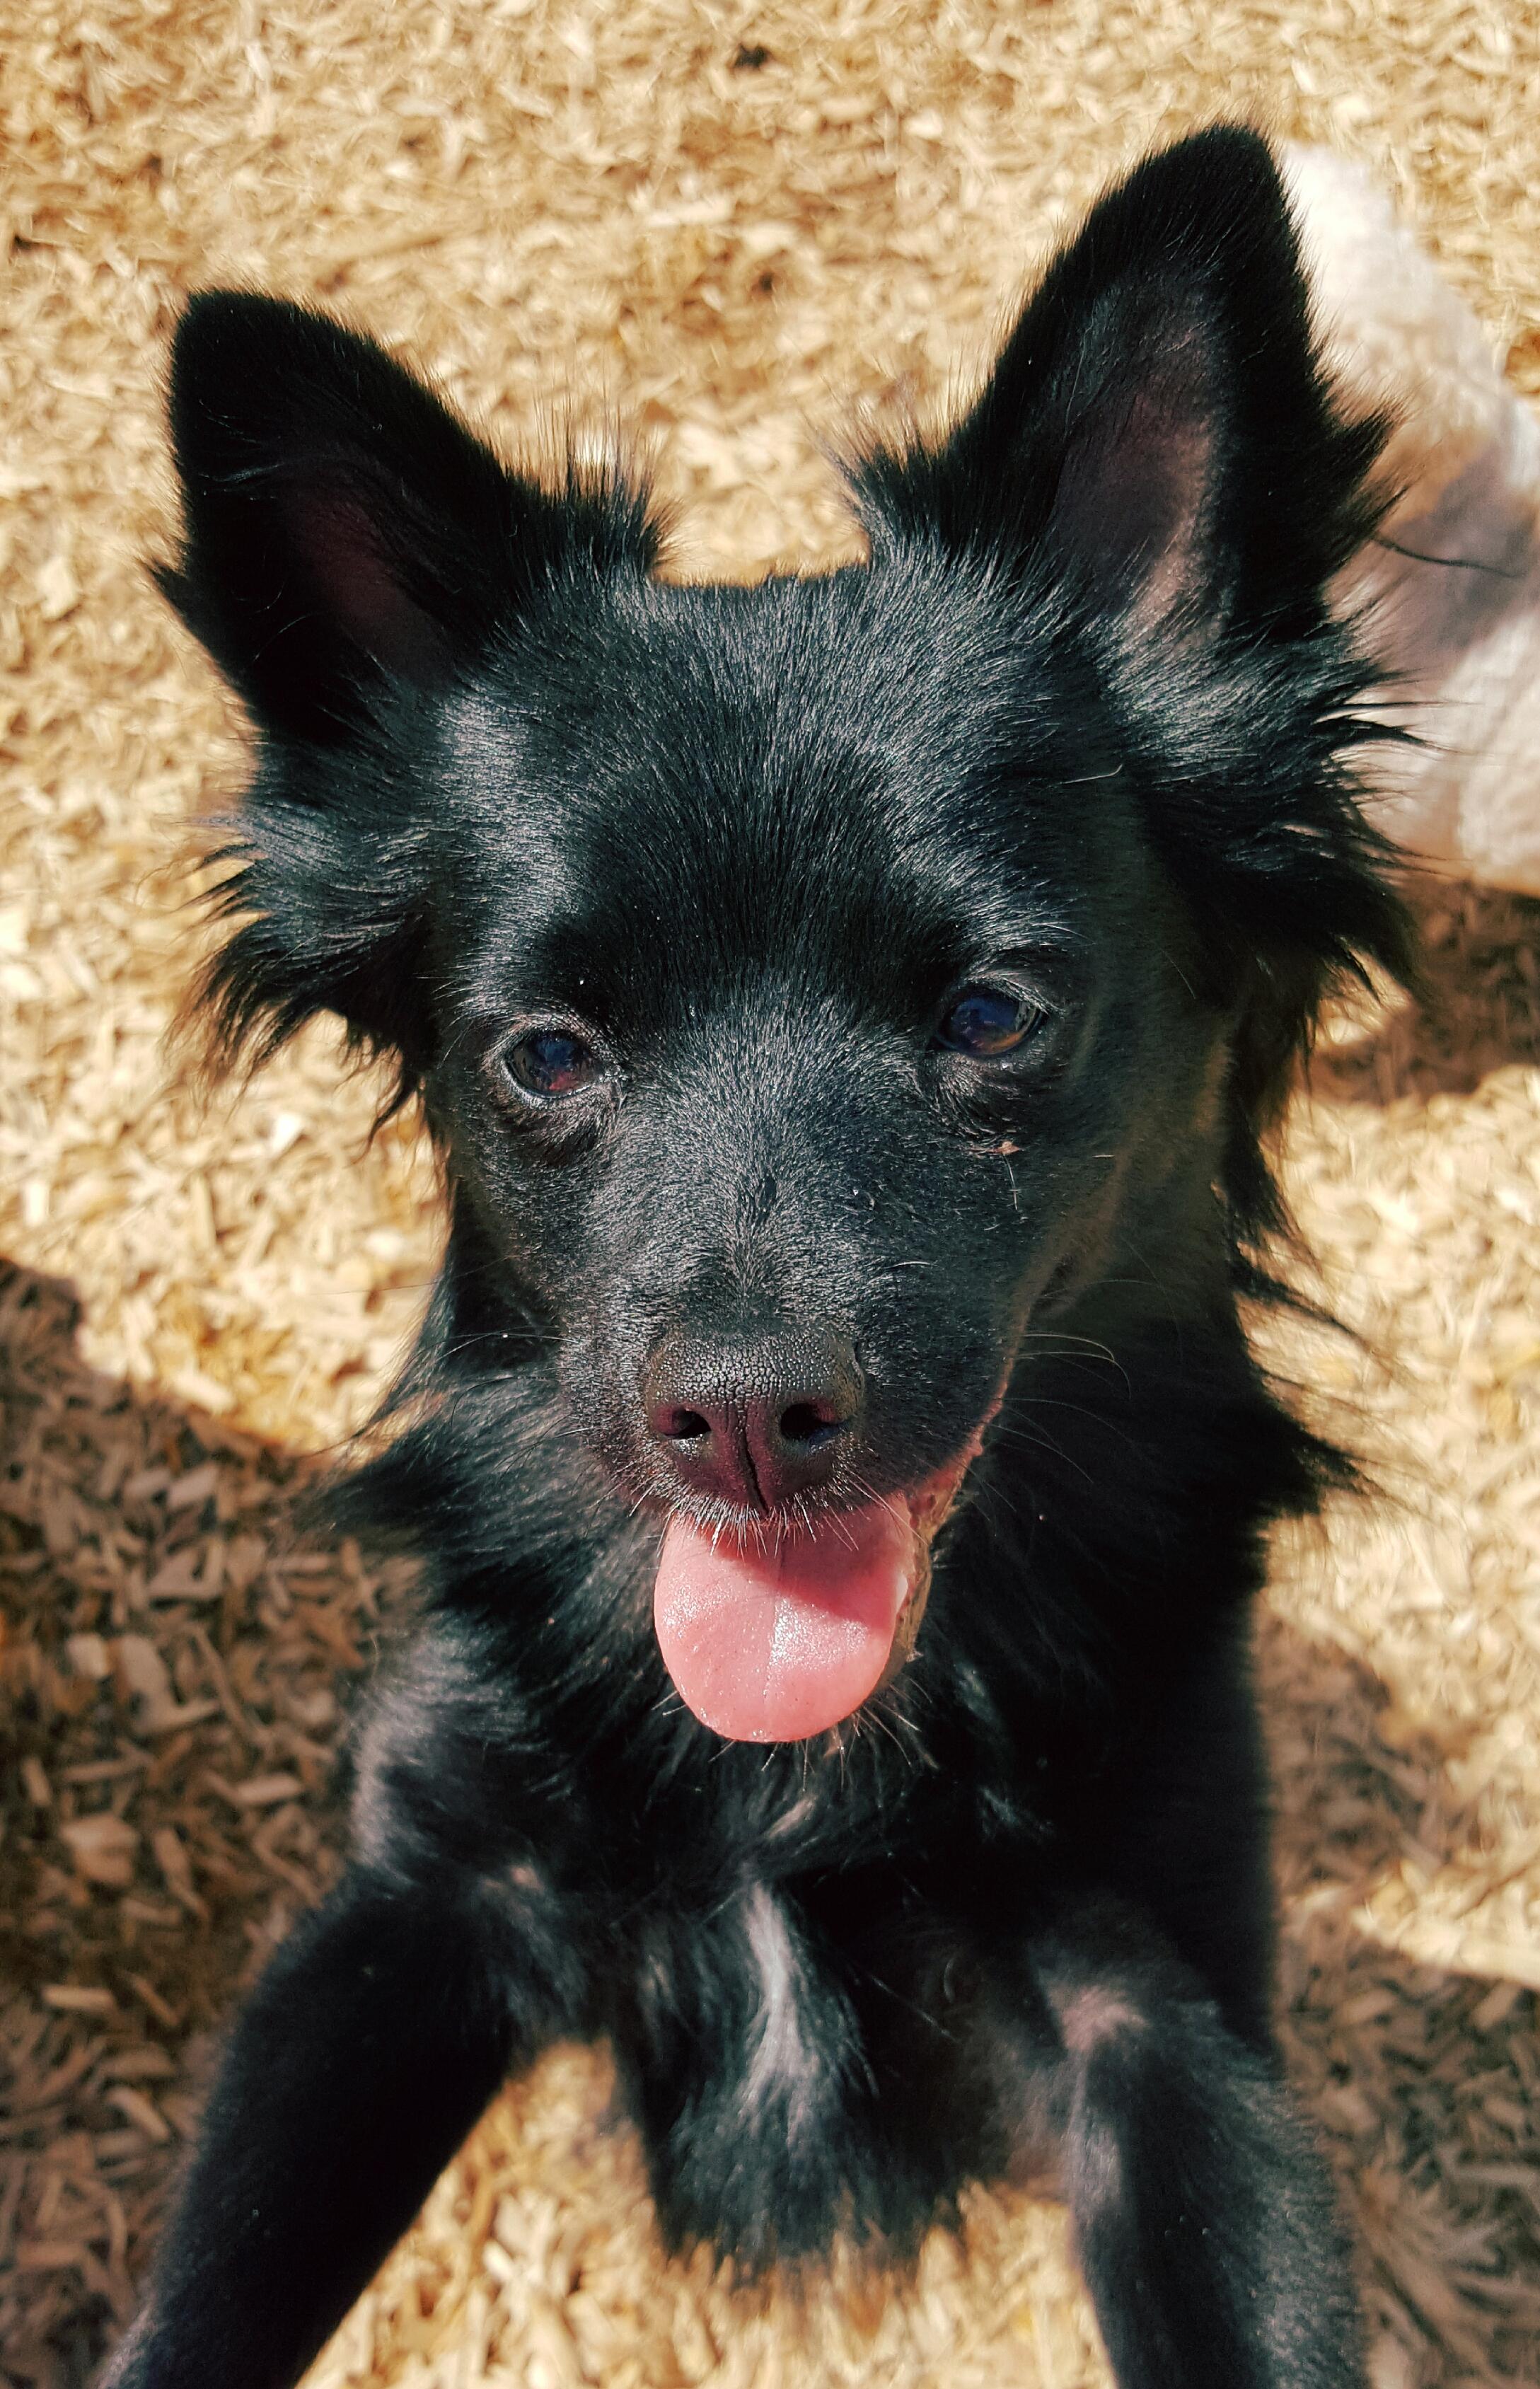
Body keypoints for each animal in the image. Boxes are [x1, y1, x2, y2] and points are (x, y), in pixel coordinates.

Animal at [105, 126, 1403, 2389]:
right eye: (546, 1052)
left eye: (993, 1013)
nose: (741, 1421)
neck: (798, 1778)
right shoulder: (420, 1911)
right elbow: (204, 2296)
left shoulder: (1165, 2024)